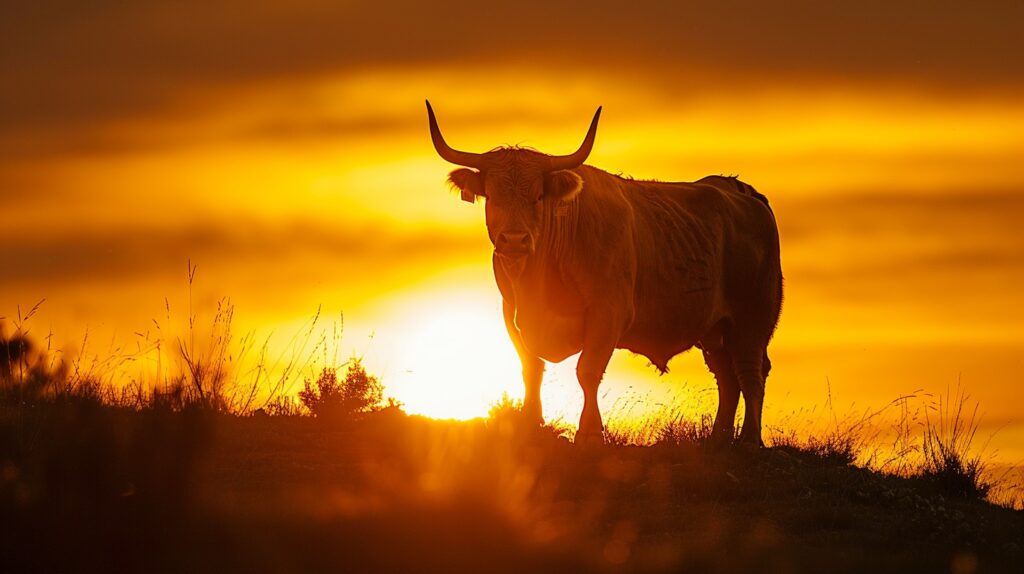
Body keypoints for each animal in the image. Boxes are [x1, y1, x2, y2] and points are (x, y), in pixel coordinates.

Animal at [426, 101, 783, 446]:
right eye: (493, 197)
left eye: (538, 196)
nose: (514, 240)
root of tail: (737, 189)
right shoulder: (511, 313)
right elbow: (531, 369)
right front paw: (529, 426)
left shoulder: (609, 313)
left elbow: (587, 370)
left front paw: (589, 434)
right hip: (715, 330)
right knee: (726, 377)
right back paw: (717, 439)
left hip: (753, 318)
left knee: (749, 371)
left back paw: (749, 439)